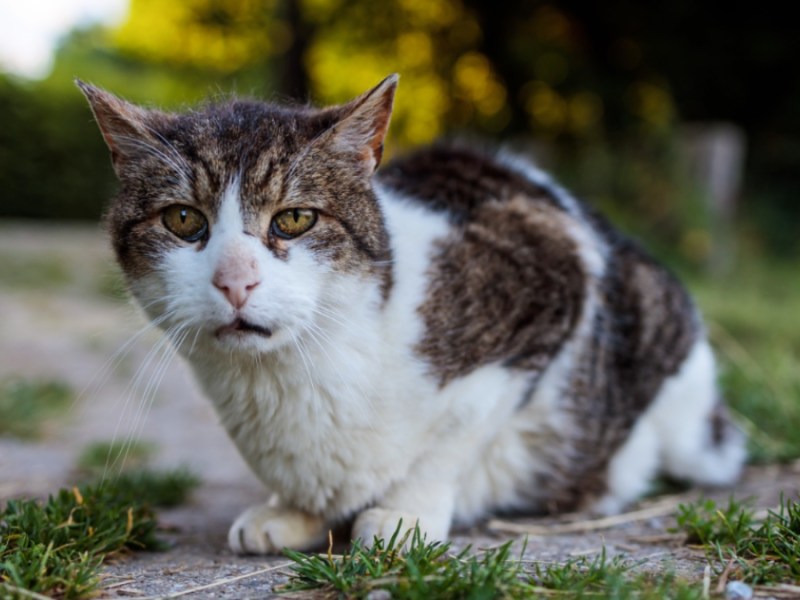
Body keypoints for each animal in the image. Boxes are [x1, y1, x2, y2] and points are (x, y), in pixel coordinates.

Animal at [78, 77, 748, 556]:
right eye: (183, 220)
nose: (234, 280)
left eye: (294, 219)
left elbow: (452, 438)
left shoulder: (550, 279)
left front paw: (404, 512)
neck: (293, 375)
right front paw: (294, 511)